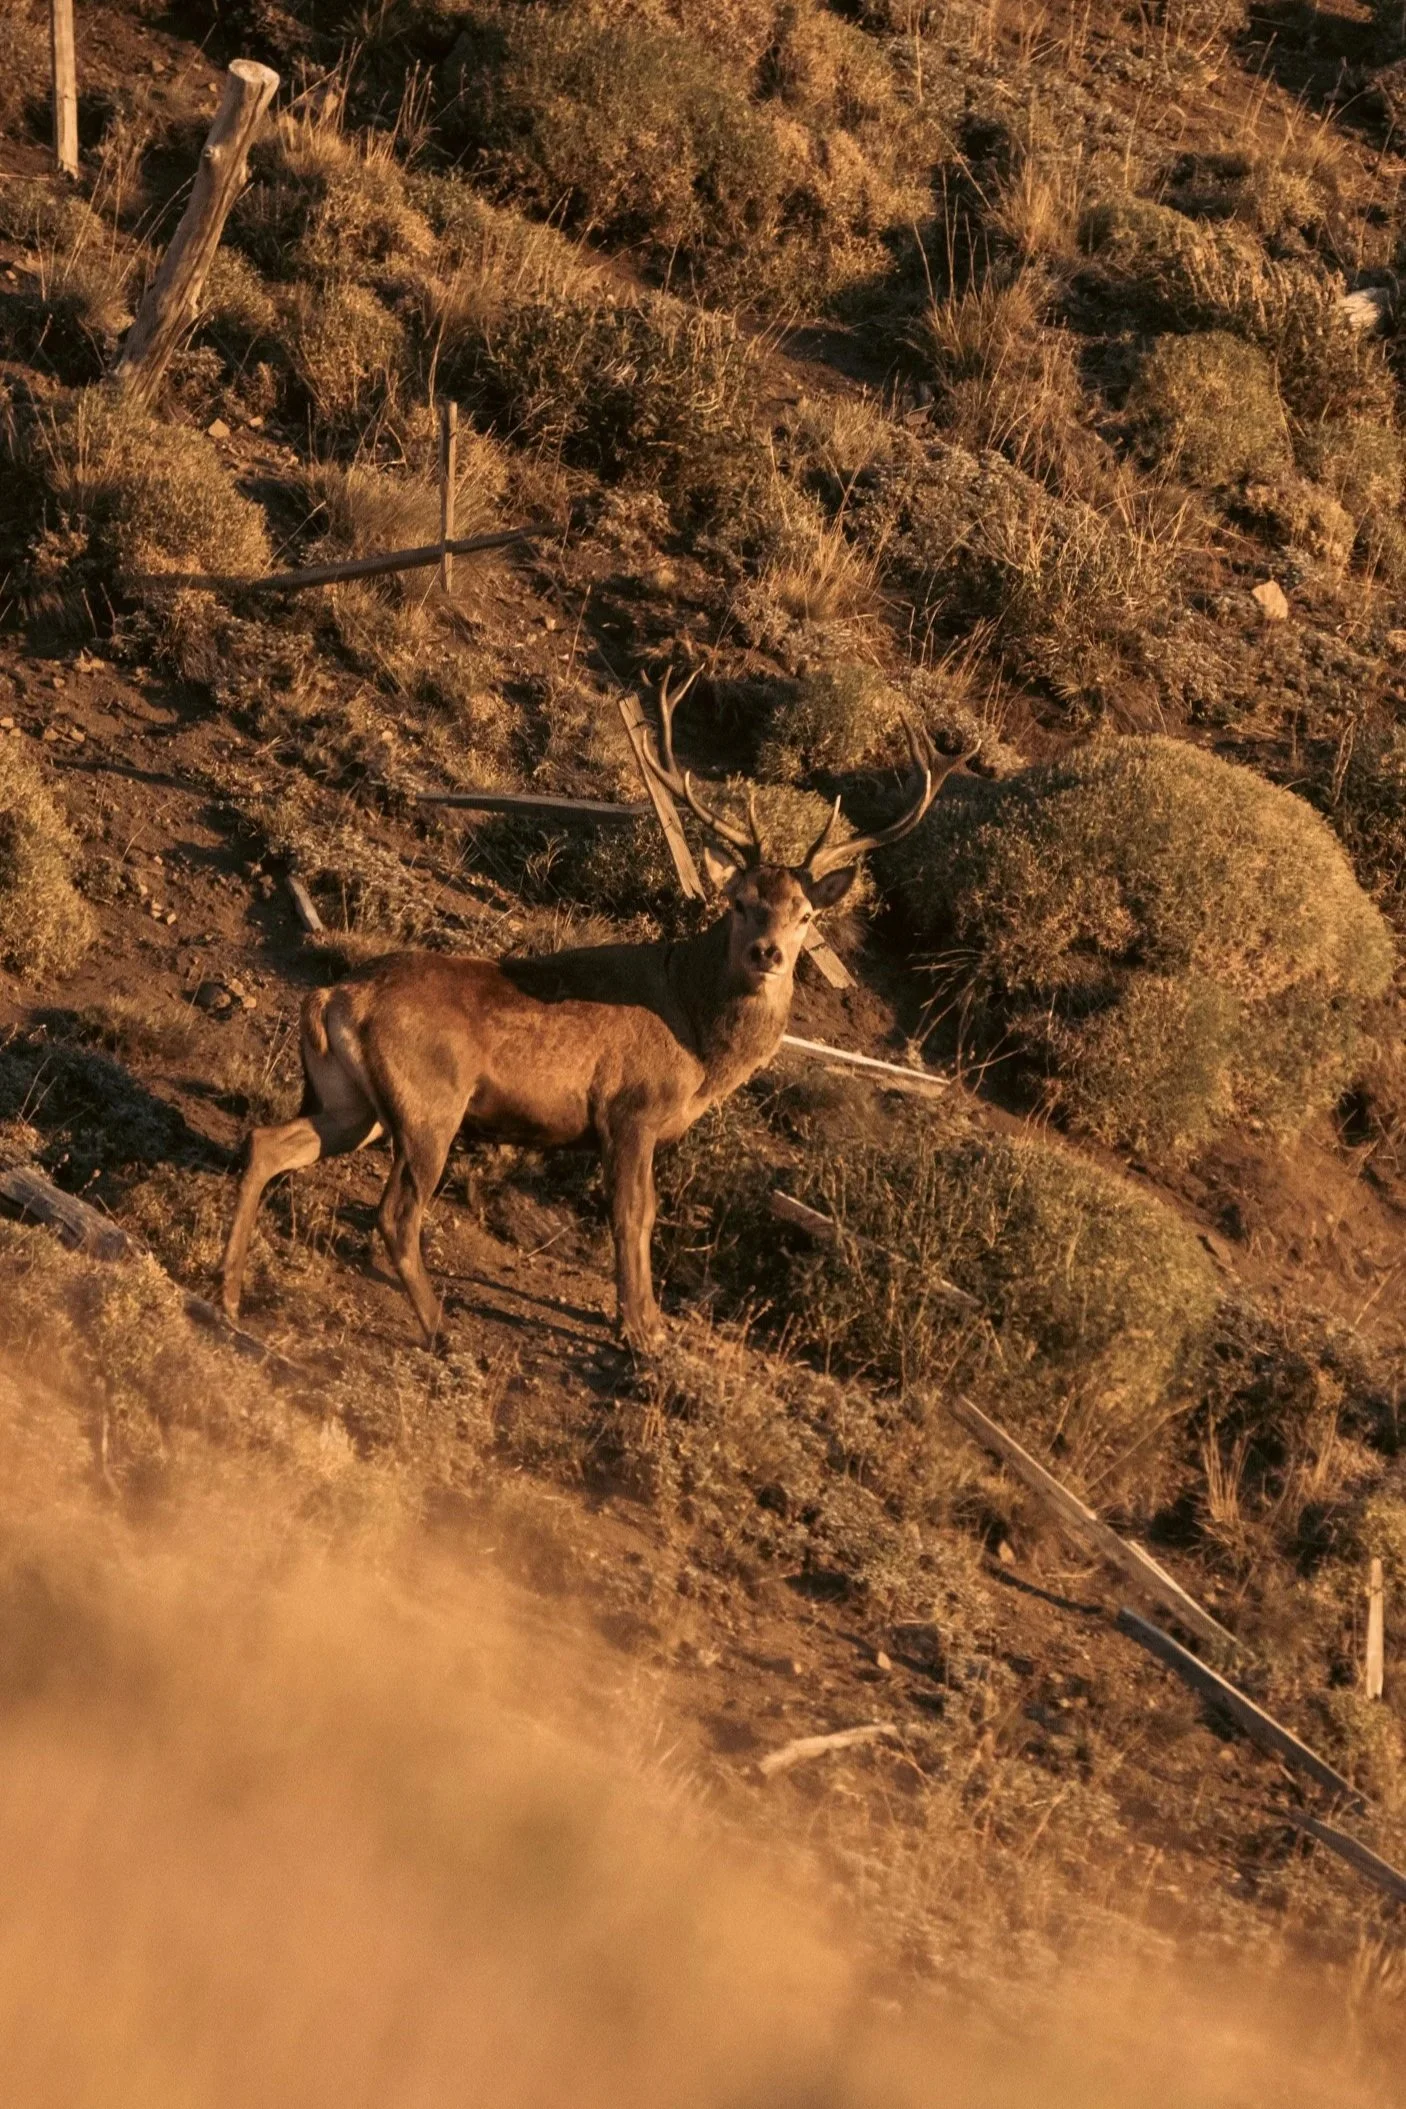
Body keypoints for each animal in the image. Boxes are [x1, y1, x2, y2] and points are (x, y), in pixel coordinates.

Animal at [219, 675, 974, 1352]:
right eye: (738, 902)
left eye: (806, 914)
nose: (768, 953)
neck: (697, 1041)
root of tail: (333, 997)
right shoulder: (629, 1109)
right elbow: (635, 1217)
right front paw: (643, 1329)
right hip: (430, 1099)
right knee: (396, 1215)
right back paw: (441, 1330)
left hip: (354, 1103)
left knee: (268, 1142)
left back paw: (227, 1290)